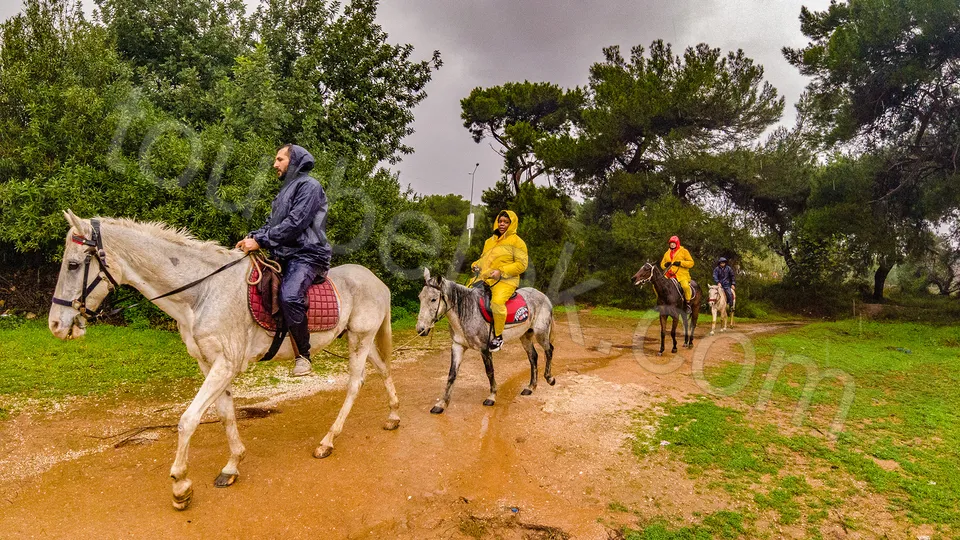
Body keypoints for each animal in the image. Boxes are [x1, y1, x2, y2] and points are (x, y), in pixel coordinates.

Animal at [48, 211, 397, 510]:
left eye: (74, 265)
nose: (55, 325)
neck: (202, 293)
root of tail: (377, 281)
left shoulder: (225, 364)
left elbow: (188, 419)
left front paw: (181, 486)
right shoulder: (210, 364)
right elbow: (226, 413)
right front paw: (232, 466)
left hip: (359, 339)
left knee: (354, 384)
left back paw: (327, 441)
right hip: (360, 339)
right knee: (383, 369)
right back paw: (393, 416)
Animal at [415, 268, 555, 414]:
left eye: (433, 299)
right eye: (420, 297)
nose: (421, 329)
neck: (467, 312)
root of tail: (544, 297)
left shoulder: (485, 349)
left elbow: (489, 371)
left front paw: (491, 397)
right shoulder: (458, 346)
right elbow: (452, 374)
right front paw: (441, 404)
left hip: (541, 333)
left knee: (549, 350)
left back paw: (550, 378)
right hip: (525, 336)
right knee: (533, 356)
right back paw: (530, 387)